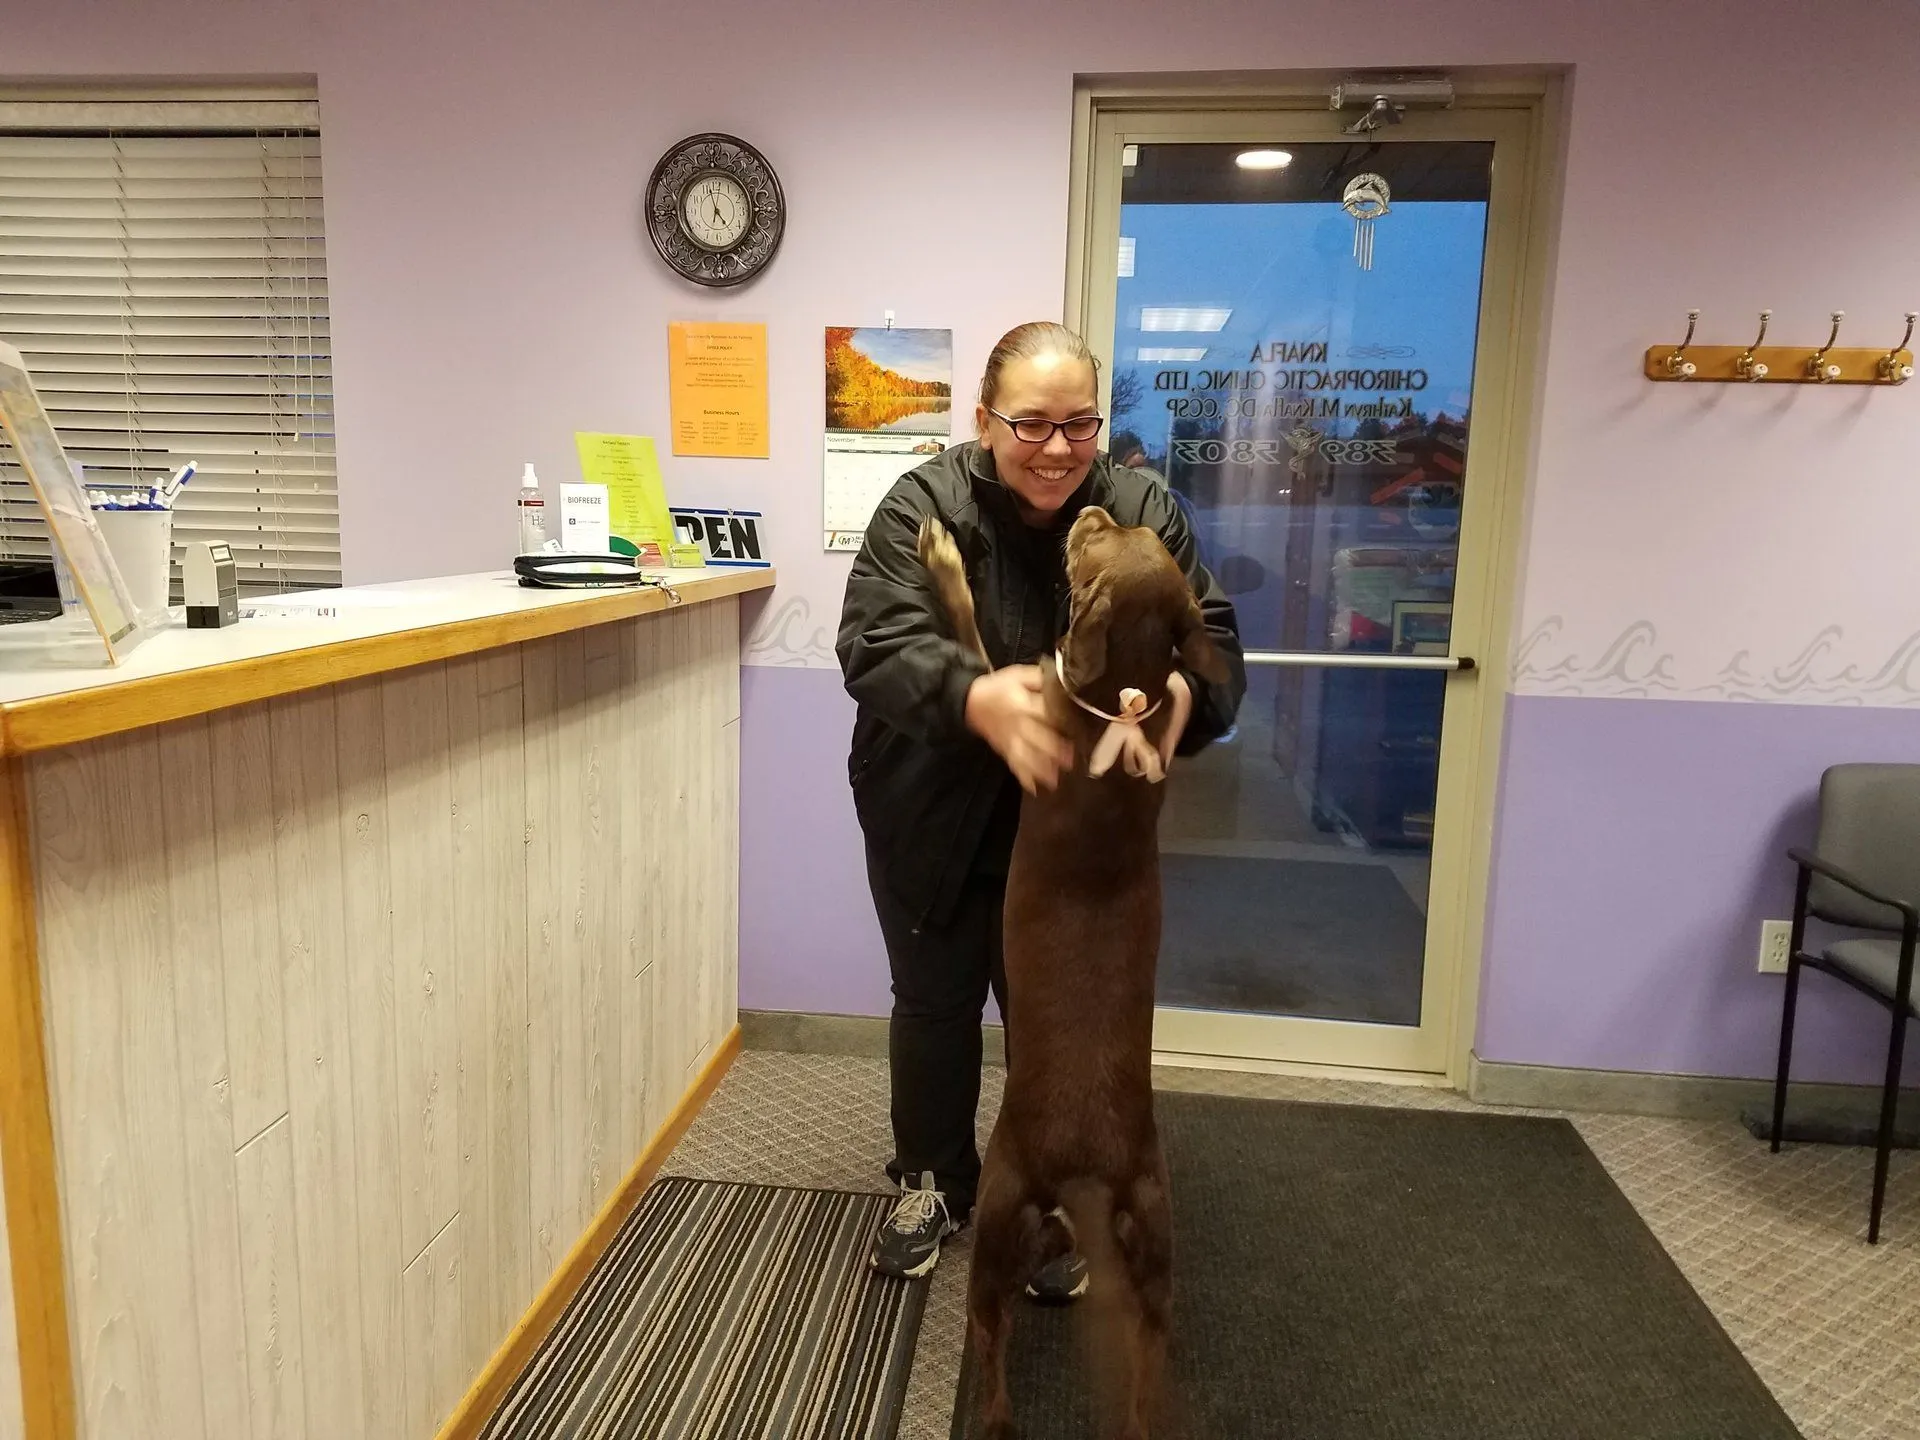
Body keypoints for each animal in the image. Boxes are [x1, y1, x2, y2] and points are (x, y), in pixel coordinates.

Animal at [917, 506, 1228, 1440]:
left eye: (1099, 541)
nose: (1089, 511)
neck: (1121, 699)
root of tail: (1088, 1173)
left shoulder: (1011, 705)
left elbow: (970, 634)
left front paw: (943, 561)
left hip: (1000, 1213)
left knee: (993, 1359)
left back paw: (993, 1412)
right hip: (1157, 1245)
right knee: (1143, 1380)